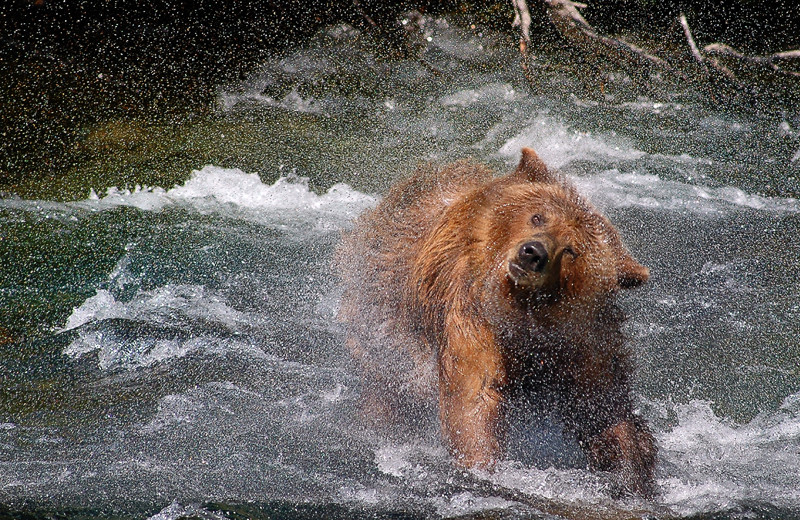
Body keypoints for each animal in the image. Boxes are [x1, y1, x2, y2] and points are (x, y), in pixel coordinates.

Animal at [338, 147, 656, 496]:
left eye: (571, 249)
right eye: (538, 216)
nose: (532, 252)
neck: (526, 315)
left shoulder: (582, 339)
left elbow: (604, 408)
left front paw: (631, 474)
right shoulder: (474, 312)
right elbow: (475, 394)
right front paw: (480, 466)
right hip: (383, 323)